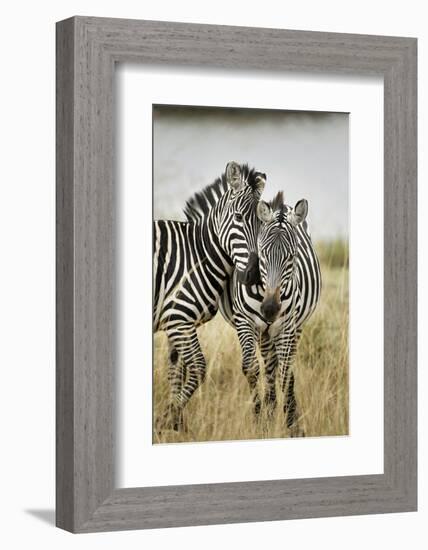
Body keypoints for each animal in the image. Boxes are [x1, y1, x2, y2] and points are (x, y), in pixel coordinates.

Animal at [154, 162, 268, 430]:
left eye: (262, 223)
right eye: (238, 218)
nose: (254, 276)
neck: (198, 253)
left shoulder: (177, 322)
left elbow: (176, 369)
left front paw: (176, 424)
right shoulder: (179, 319)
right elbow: (197, 368)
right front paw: (167, 420)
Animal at [221, 192, 320, 434]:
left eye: (292, 256)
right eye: (262, 254)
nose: (270, 309)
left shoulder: (286, 326)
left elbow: (285, 373)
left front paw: (292, 425)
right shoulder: (245, 322)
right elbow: (251, 369)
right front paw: (259, 422)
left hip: (294, 328)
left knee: (281, 367)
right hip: (264, 333)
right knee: (268, 366)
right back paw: (270, 409)